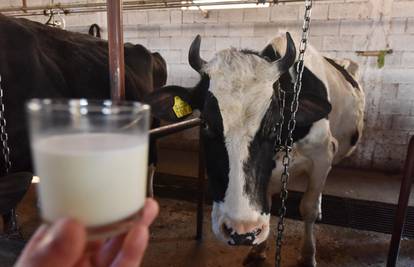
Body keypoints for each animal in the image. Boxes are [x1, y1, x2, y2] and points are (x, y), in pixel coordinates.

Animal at [146, 32, 366, 266]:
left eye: (275, 124)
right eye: (205, 123)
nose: (241, 232)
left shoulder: (323, 155)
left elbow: (308, 208)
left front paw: (307, 255)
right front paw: (258, 250)